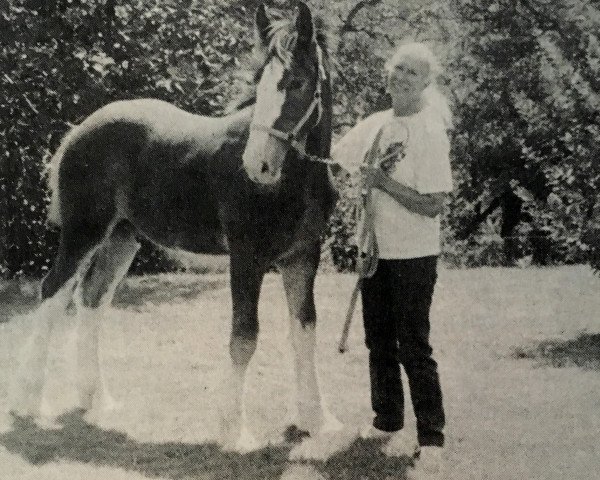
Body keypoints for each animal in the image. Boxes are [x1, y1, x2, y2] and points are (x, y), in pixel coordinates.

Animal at [10, 3, 342, 452]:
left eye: (298, 82)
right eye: (260, 84)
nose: (257, 166)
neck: (295, 179)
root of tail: (78, 130)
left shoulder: (303, 257)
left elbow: (304, 331)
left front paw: (317, 421)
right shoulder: (247, 257)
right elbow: (244, 336)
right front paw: (235, 432)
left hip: (122, 239)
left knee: (92, 298)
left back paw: (98, 400)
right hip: (84, 233)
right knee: (52, 291)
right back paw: (29, 401)